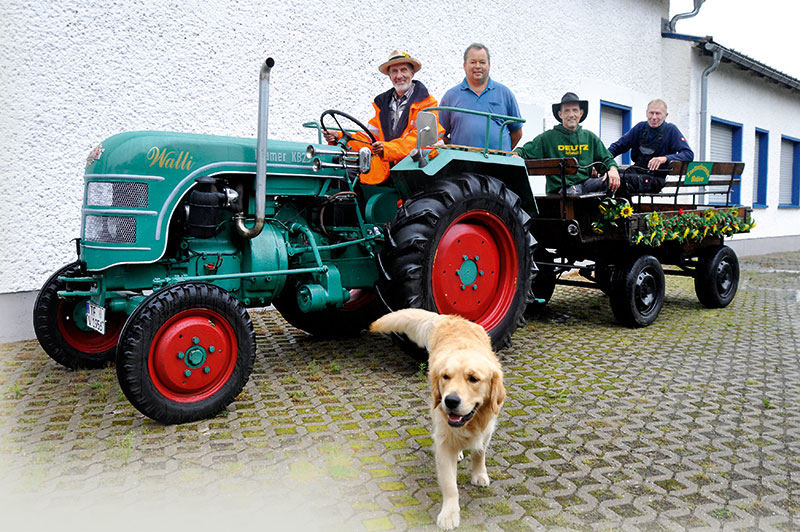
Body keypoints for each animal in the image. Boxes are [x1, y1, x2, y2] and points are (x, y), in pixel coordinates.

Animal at [370, 308, 506, 528]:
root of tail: (449, 317)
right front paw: (449, 514)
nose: (450, 400)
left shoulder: (487, 430)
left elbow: (479, 454)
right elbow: (450, 485)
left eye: (473, 379)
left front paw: (479, 474)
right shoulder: (443, 443)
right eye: (446, 377)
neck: (471, 422)